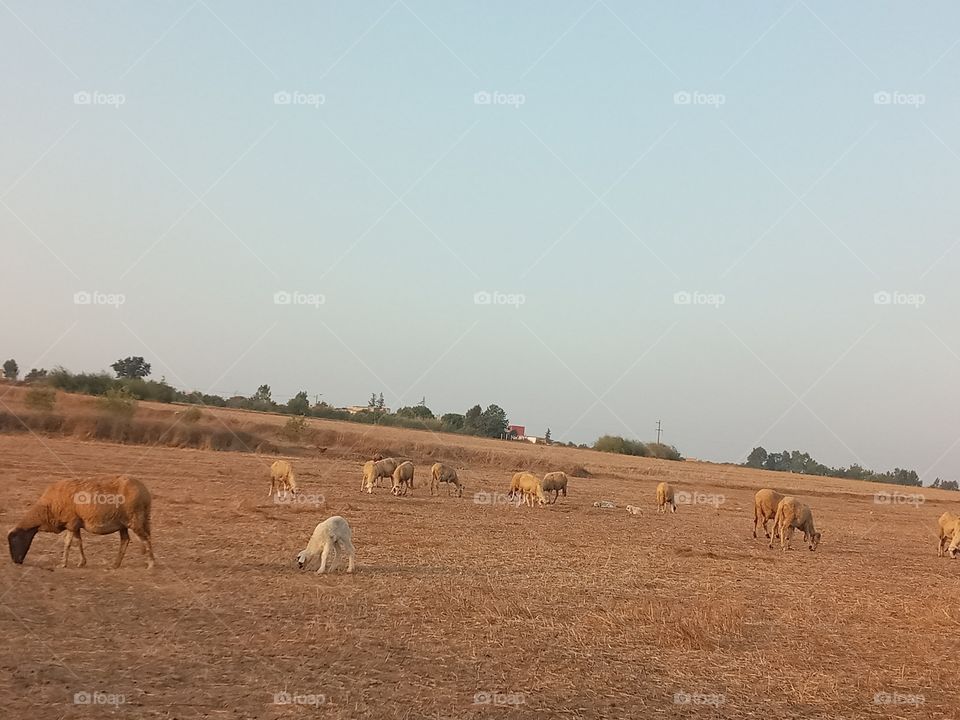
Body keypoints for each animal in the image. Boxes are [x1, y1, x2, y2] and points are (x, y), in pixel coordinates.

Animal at [8, 475, 155, 569]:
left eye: (14, 540)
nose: (15, 561)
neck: (47, 509)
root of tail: (145, 492)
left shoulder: (71, 522)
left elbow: (68, 543)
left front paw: (63, 564)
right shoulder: (75, 524)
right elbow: (78, 542)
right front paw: (81, 562)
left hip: (135, 519)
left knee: (146, 539)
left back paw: (151, 564)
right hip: (123, 523)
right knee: (125, 541)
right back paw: (115, 565)